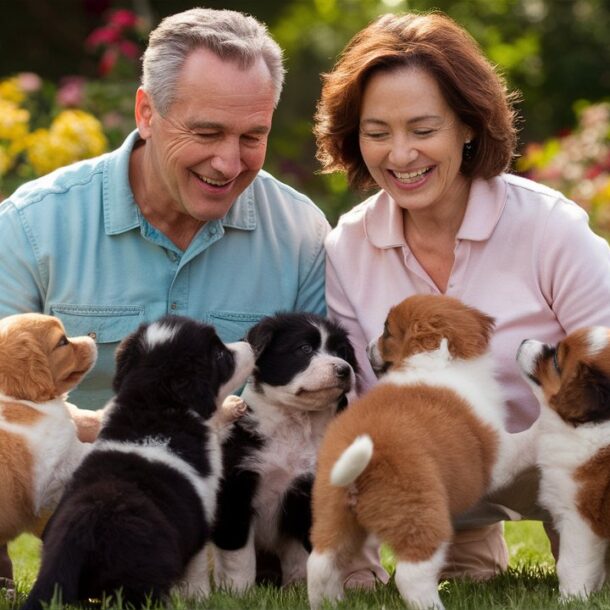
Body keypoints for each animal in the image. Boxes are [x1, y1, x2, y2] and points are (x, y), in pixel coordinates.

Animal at [23, 314, 254, 608]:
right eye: (221, 354)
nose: (250, 343)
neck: (151, 402)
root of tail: (79, 536)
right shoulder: (200, 516)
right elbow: (197, 571)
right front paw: (200, 598)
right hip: (140, 579)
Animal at [213, 312, 358, 588]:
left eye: (341, 351)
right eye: (304, 349)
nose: (344, 369)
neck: (295, 423)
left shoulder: (307, 491)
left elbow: (303, 553)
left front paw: (300, 588)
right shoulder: (237, 490)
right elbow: (240, 555)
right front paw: (238, 591)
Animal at [306, 294, 536, 608]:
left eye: (386, 331)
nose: (365, 347)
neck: (435, 362)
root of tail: (358, 465)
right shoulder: (498, 458)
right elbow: (525, 440)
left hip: (333, 515)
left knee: (321, 564)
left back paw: (332, 602)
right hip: (422, 515)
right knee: (411, 575)